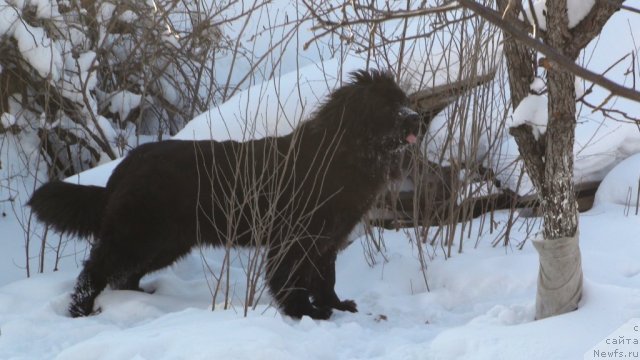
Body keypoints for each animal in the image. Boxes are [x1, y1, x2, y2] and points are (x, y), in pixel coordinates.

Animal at [27, 69, 422, 320]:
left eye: (403, 100)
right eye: (387, 106)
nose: (416, 117)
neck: (342, 153)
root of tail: (124, 166)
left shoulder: (326, 239)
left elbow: (326, 279)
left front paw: (336, 307)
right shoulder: (292, 237)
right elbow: (288, 278)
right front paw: (303, 312)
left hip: (166, 240)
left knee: (125, 275)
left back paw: (144, 300)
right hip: (138, 233)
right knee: (94, 270)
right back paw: (79, 310)